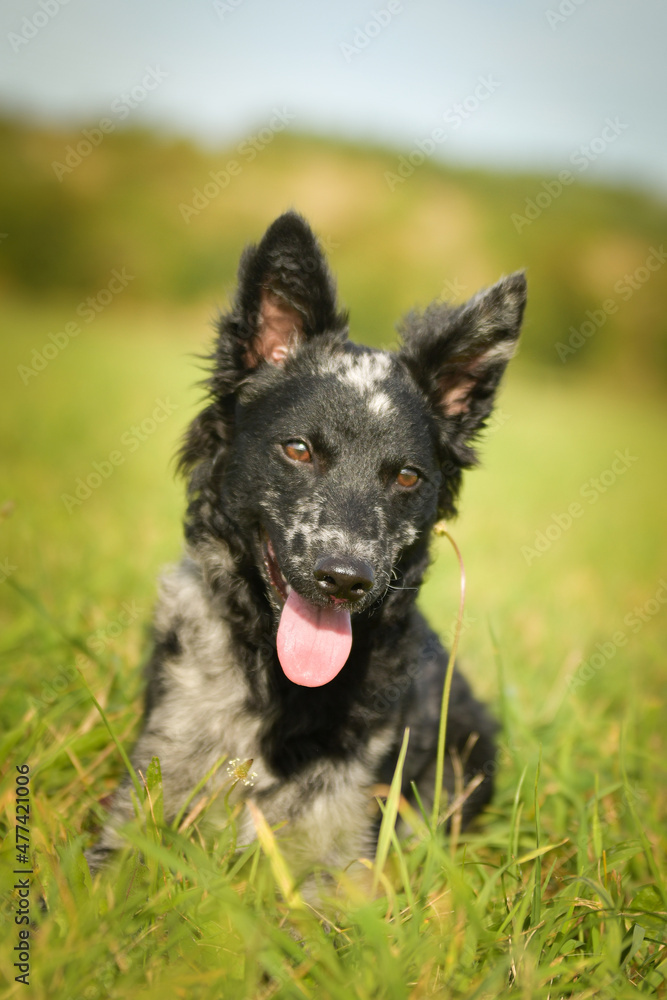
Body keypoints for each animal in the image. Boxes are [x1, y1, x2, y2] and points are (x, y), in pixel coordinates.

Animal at [87, 213, 528, 884]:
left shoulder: (338, 857)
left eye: (407, 477)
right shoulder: (147, 793)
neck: (280, 688)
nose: (344, 579)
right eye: (298, 449)